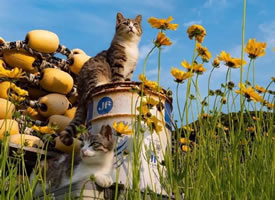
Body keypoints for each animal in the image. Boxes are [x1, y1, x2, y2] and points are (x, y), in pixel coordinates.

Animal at [59, 12, 143, 145]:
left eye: (135, 24)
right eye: (125, 23)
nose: (130, 27)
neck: (129, 46)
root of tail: (80, 96)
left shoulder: (130, 71)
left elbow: (127, 81)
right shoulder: (117, 64)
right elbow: (118, 79)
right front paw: (119, 84)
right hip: (95, 73)